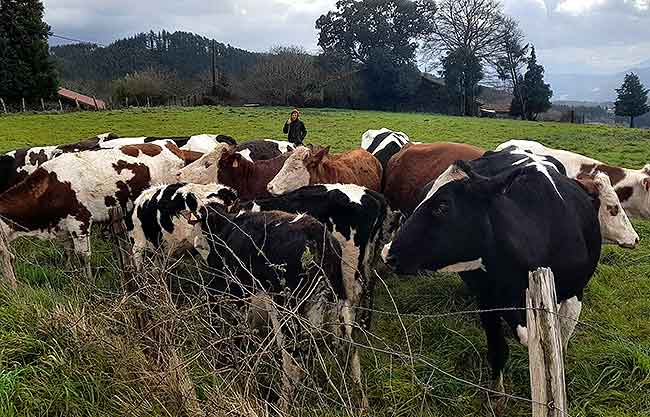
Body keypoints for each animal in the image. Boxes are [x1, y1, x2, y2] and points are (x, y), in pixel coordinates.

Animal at [191, 205, 364, 410]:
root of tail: (317, 234)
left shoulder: (236, 288)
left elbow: (236, 326)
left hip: (285, 308)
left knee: (292, 356)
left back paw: (283, 404)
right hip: (338, 302)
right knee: (351, 349)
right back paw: (362, 402)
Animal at [239, 184, 400, 330]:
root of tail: (374, 197)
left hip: (350, 262)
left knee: (354, 295)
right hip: (369, 258)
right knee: (369, 285)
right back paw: (363, 326)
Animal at [382, 149, 600, 394]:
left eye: (443, 206)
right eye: (424, 193)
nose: (387, 252)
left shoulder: (574, 297)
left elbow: (559, 350)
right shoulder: (487, 298)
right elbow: (498, 351)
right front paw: (497, 394)